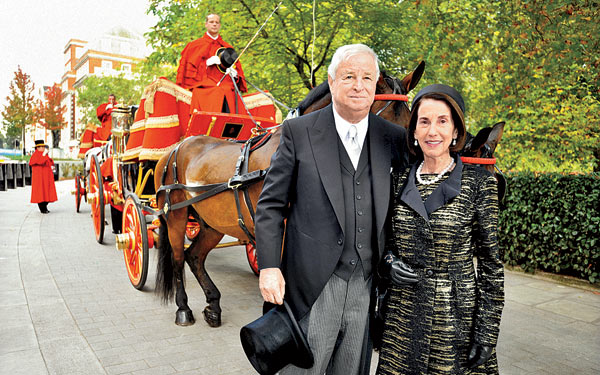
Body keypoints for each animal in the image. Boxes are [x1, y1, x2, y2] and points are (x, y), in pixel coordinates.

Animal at [155, 61, 426, 326]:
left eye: (410, 124)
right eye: (383, 126)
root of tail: (176, 148)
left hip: (213, 222)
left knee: (194, 257)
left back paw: (213, 304)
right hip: (176, 217)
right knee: (178, 258)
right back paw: (183, 309)